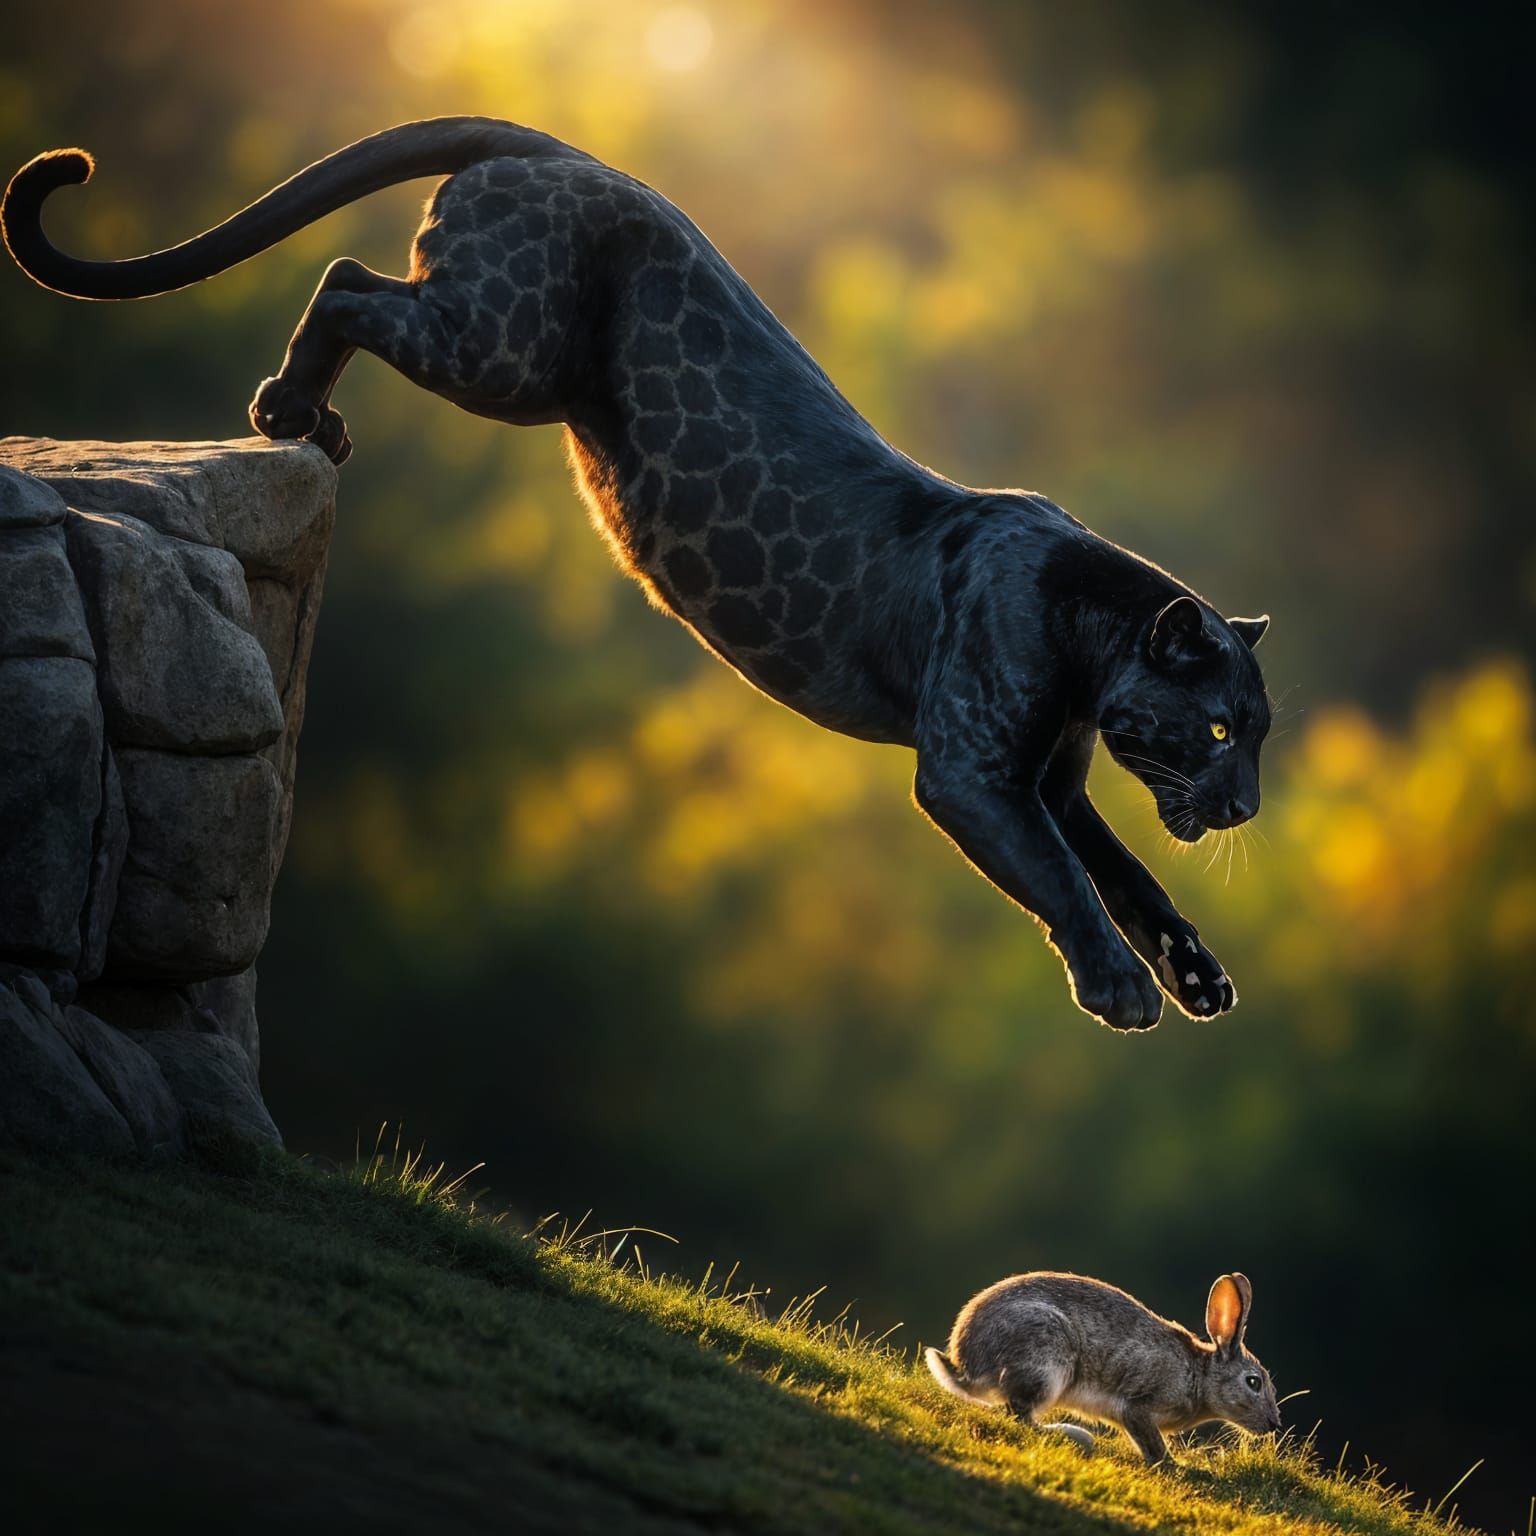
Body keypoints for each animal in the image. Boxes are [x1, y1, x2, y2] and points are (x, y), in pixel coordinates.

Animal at [925, 1270, 1281, 1464]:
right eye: (1253, 1382)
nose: (1274, 1424)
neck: (1199, 1377)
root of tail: (965, 1365)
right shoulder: (1139, 1407)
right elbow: (1152, 1444)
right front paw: (1177, 1465)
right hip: (1046, 1358)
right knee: (1020, 1414)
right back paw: (1073, 1435)